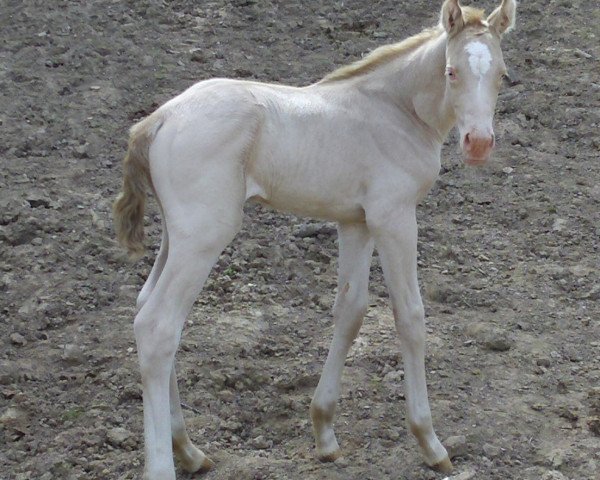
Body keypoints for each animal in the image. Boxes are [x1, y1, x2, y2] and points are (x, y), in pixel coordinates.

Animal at [115, 1, 516, 478]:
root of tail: (159, 119)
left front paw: (324, 432)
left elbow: (351, 311)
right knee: (158, 325)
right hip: (204, 235)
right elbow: (410, 317)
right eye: (452, 72)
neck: (396, 110)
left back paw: (190, 450)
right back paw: (164, 462)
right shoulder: (394, 217)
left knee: (147, 307)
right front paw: (430, 442)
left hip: (177, 235)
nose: (479, 144)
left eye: (503, 74)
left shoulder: (356, 222)